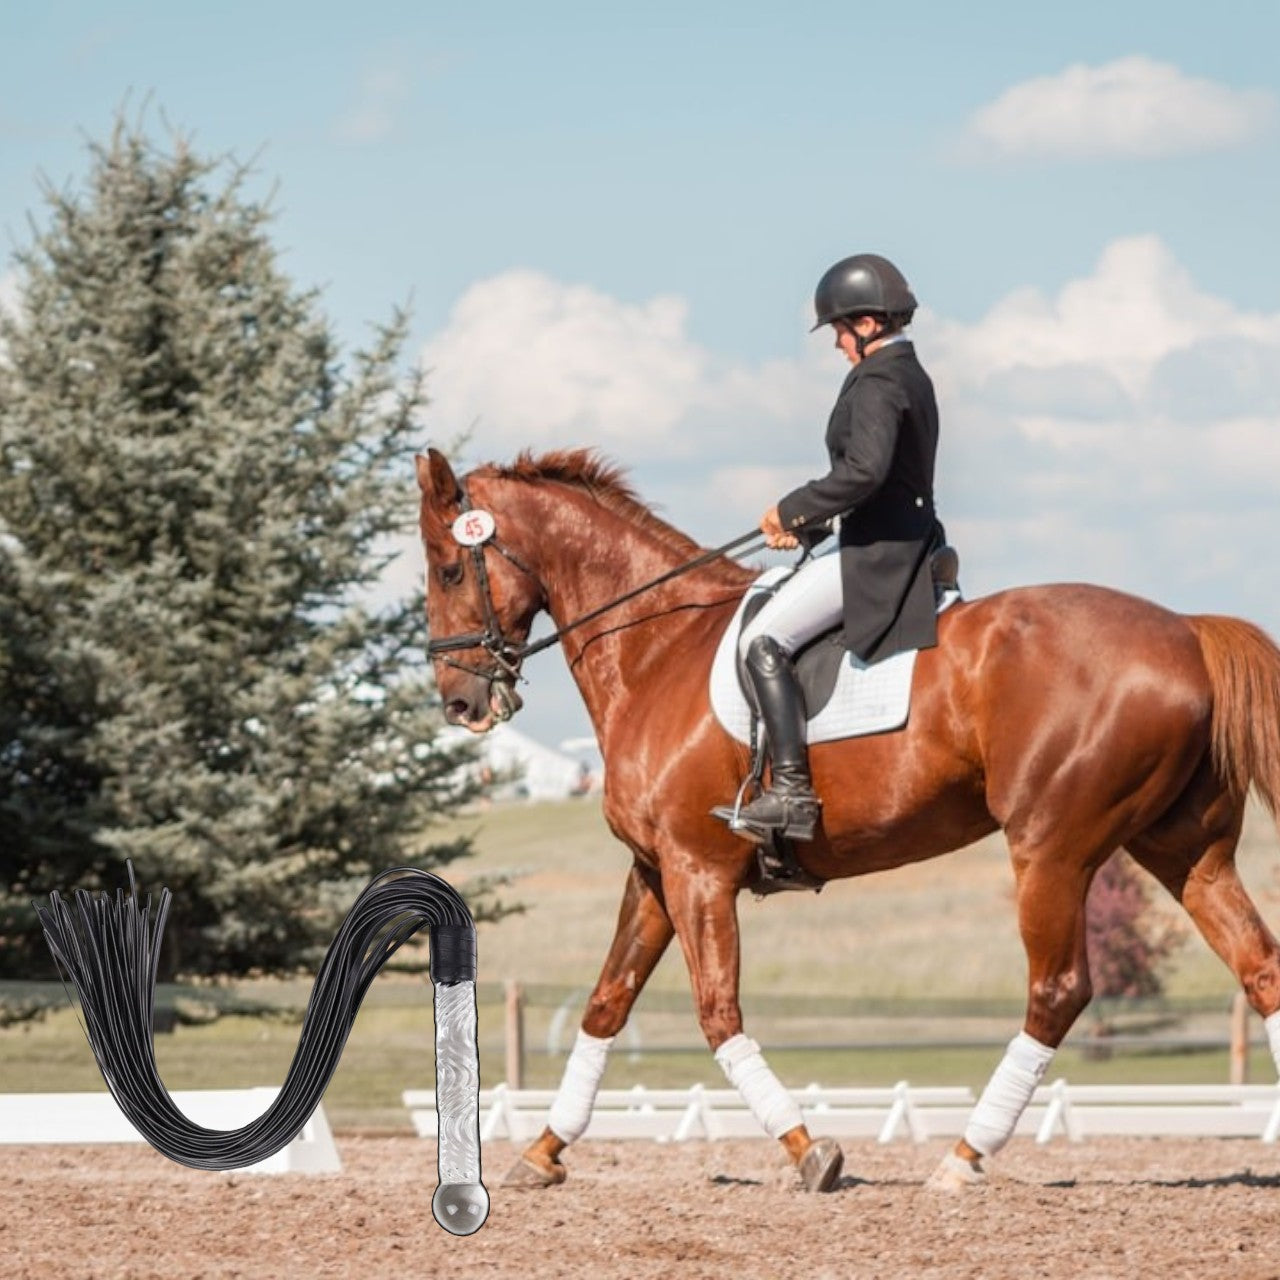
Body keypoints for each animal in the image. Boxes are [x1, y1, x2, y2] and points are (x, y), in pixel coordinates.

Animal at [416, 446, 1280, 1192]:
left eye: (450, 566)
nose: (459, 704)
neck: (657, 648)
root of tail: (1186, 632)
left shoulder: (699, 872)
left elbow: (717, 1013)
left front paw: (809, 1149)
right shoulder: (656, 871)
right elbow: (607, 1002)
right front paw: (542, 1151)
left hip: (1051, 849)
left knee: (1058, 990)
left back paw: (963, 1157)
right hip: (1183, 850)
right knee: (1259, 966)